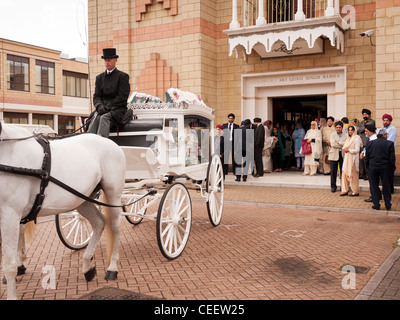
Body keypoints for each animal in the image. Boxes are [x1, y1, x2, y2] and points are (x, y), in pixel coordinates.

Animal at [0, 122, 126, 300]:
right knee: (99, 222)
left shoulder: (10, 214)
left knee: (115, 227)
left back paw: (112, 268)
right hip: (82, 199)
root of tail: (108, 142)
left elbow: (9, 264)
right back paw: (87, 266)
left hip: (113, 194)